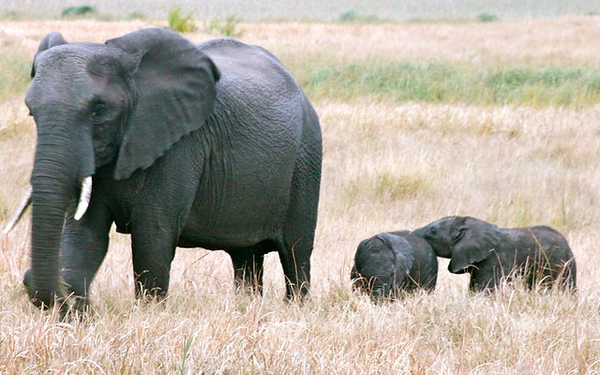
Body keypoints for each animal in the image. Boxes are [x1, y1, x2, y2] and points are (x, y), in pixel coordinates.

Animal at [11, 27, 322, 312]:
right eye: (31, 111)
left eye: (99, 109)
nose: (28, 278)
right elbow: (85, 232)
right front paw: (75, 306)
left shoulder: (179, 146)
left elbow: (153, 234)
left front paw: (149, 312)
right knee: (245, 255)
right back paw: (246, 306)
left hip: (306, 158)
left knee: (295, 251)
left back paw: (296, 307)